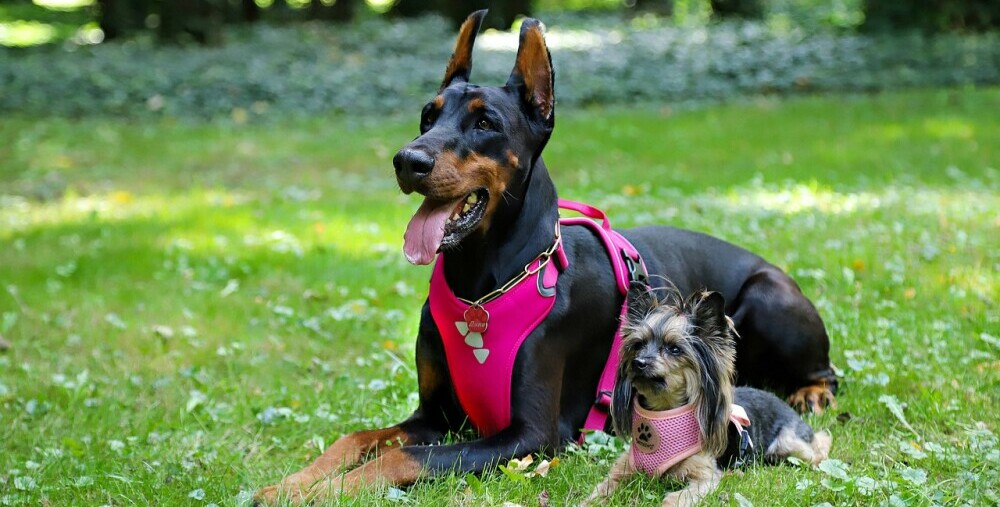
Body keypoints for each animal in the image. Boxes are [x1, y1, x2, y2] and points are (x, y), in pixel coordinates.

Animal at [584, 284, 828, 506]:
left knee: (820, 444)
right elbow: (604, 487)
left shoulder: (705, 477)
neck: (663, 412)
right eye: (638, 345)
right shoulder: (626, 466)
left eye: (674, 349)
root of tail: (782, 402)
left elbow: (673, 499)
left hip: (789, 443)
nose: (638, 362)